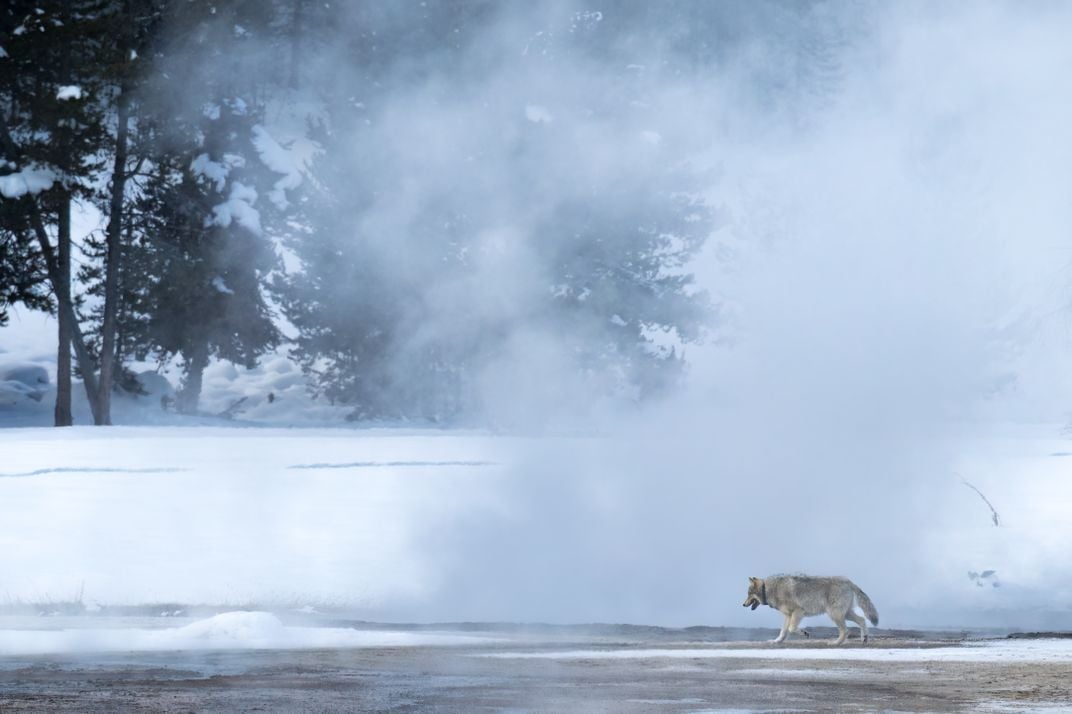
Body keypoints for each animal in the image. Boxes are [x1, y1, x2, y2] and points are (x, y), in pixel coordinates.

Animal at [741, 574, 883, 643]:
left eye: (749, 594)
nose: (742, 605)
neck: (769, 589)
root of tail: (848, 581)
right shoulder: (788, 616)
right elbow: (783, 632)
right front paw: (776, 641)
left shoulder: (798, 612)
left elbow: (792, 629)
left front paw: (804, 633)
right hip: (845, 614)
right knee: (862, 620)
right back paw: (864, 638)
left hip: (835, 615)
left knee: (846, 631)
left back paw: (835, 643)